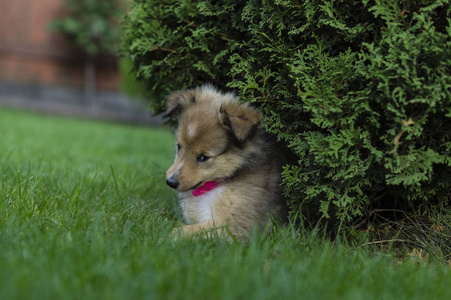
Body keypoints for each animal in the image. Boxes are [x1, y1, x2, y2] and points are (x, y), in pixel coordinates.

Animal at [166, 85, 286, 240]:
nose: (170, 182)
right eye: (179, 146)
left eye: (203, 157)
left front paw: (167, 233)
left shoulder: (234, 227)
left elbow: (189, 229)